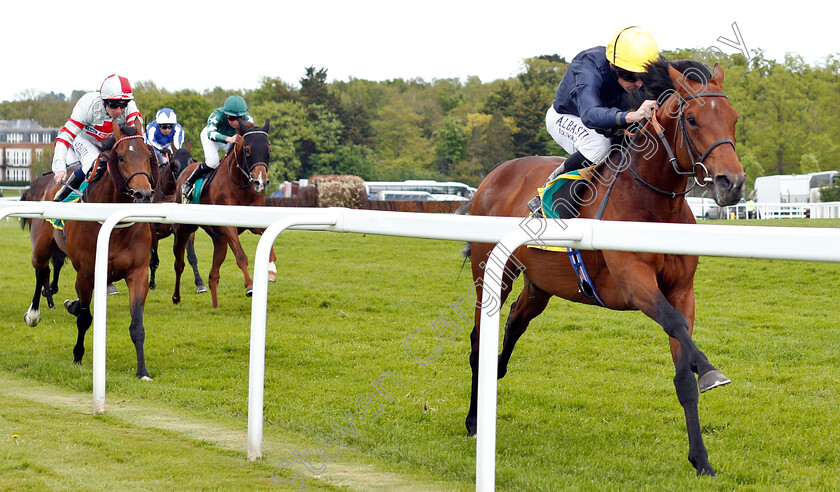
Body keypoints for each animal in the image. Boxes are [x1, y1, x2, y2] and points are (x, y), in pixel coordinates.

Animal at [21, 122, 158, 376]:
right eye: (121, 157)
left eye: (148, 156)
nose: (144, 194)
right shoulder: (85, 274)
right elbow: (85, 319)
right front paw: (78, 356)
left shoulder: (138, 274)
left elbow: (137, 325)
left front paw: (142, 371)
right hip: (41, 248)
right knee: (41, 270)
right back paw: (34, 314)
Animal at [171, 118, 276, 308]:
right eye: (247, 150)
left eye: (268, 150)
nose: (261, 182)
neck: (241, 185)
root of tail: (184, 172)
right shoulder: (229, 226)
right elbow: (241, 256)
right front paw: (250, 286)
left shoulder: (253, 222)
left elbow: (269, 239)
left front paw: (271, 270)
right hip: (183, 230)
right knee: (179, 263)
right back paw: (176, 296)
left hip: (219, 239)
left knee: (213, 275)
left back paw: (215, 306)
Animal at [462, 59, 744, 474]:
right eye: (692, 119)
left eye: (734, 118)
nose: (732, 183)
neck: (653, 202)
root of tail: (492, 177)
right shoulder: (634, 283)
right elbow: (675, 325)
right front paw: (710, 370)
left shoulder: (681, 290)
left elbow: (683, 372)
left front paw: (701, 459)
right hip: (491, 273)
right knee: (479, 339)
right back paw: (472, 420)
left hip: (540, 285)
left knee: (514, 322)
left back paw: (494, 379)